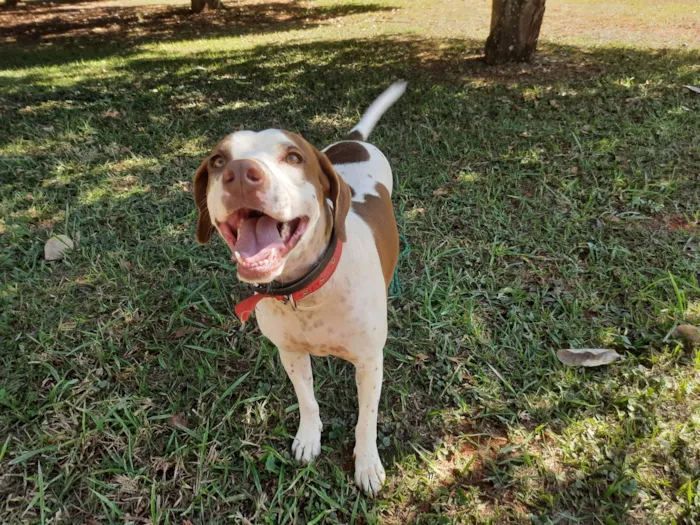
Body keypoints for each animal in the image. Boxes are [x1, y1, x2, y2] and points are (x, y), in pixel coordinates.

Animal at [194, 80, 408, 494]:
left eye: (293, 157)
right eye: (217, 160)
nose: (239, 173)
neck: (307, 290)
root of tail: (354, 140)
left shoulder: (370, 363)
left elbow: (366, 420)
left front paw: (367, 464)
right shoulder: (290, 353)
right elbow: (307, 401)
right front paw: (309, 438)